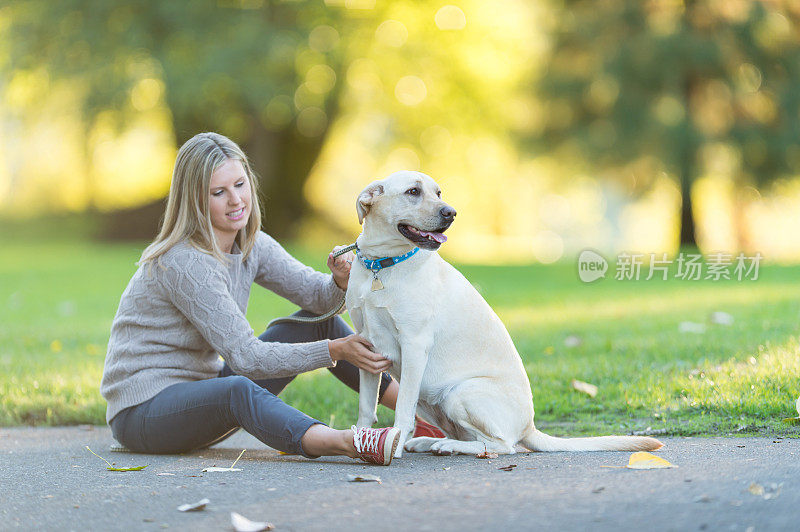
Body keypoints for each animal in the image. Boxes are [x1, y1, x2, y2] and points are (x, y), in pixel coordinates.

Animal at [350, 171, 664, 458]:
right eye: (413, 191)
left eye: (438, 193)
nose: (451, 212)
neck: (381, 265)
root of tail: (529, 427)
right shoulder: (368, 349)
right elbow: (366, 407)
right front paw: (360, 439)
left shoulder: (415, 344)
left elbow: (403, 408)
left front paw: (394, 442)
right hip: (434, 404)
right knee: (474, 438)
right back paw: (430, 442)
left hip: (460, 392)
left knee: (501, 446)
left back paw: (448, 446)